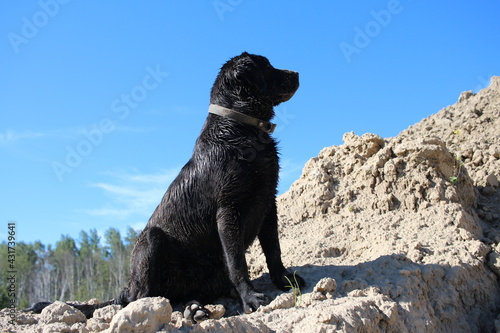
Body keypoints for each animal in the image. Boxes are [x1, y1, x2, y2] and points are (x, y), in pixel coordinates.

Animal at [28, 51, 304, 316]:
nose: (297, 73)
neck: (238, 128)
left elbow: (274, 250)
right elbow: (237, 263)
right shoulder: (228, 210)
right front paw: (250, 298)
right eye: (266, 66)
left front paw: (285, 280)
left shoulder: (268, 201)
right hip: (151, 240)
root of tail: (125, 288)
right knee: (142, 299)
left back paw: (195, 309)